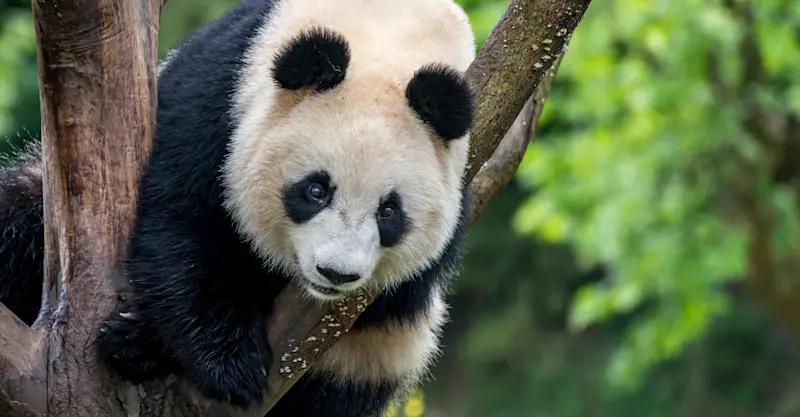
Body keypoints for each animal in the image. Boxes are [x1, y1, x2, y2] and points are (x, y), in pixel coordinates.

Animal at [0, 0, 476, 415]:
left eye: (388, 211)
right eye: (315, 190)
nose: (336, 273)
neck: (388, 35)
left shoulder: (466, 164)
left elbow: (401, 290)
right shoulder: (222, 90)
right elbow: (183, 225)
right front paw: (231, 365)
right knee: (20, 218)